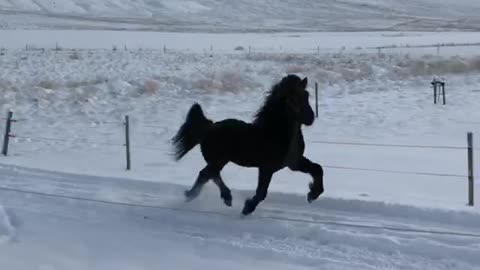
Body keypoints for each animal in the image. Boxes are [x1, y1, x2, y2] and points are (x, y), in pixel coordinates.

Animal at [171, 75, 324, 216]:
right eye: (292, 99)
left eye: (306, 95)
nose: (310, 118)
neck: (276, 132)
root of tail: (208, 128)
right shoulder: (267, 168)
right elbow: (262, 192)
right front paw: (247, 208)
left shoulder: (294, 162)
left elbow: (318, 169)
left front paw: (313, 194)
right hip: (218, 160)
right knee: (208, 174)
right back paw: (222, 197)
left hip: (219, 160)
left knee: (207, 174)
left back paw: (197, 195)